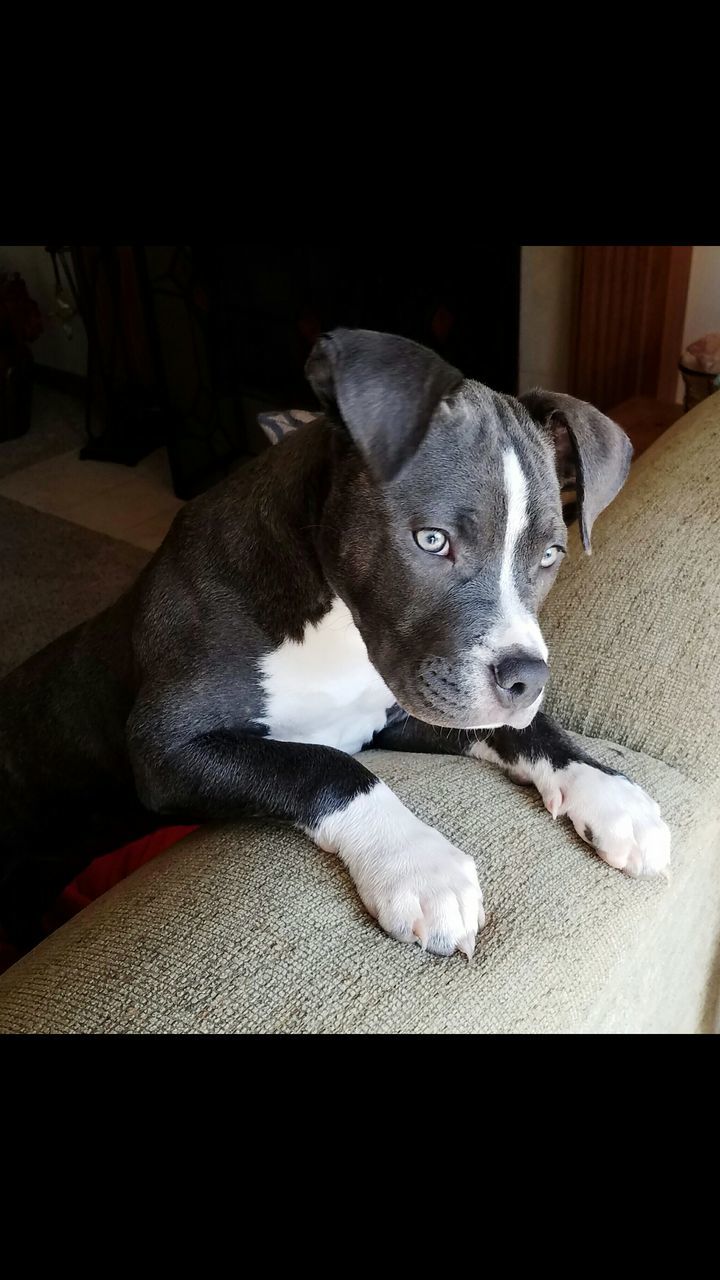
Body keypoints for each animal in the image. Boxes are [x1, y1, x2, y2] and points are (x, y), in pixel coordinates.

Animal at [0, 325, 671, 957]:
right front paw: (419, 866)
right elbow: (325, 764)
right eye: (432, 540)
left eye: (552, 554)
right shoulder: (166, 749)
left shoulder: (406, 710)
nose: (526, 679)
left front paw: (612, 795)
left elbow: (527, 732)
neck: (333, 624)